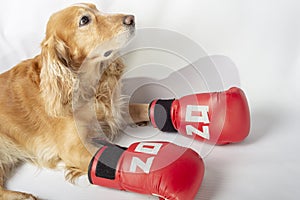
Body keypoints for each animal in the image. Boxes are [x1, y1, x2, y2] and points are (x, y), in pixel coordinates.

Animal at [0, 3, 138, 200]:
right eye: (84, 20)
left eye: (97, 9)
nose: (131, 19)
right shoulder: (72, 149)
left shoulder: (115, 111)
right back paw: (23, 196)